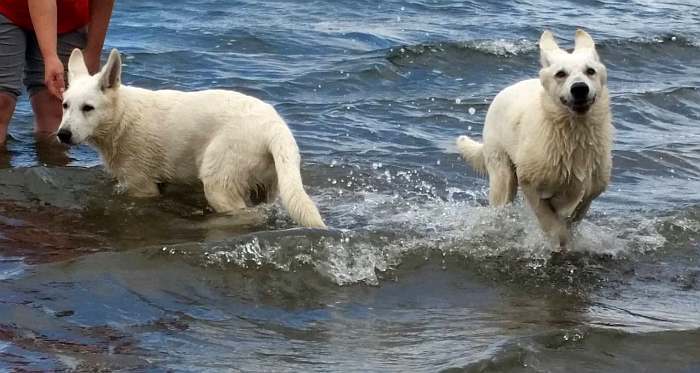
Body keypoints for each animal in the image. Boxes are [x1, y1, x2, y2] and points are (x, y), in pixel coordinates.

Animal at [57, 46, 326, 227]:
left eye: (88, 108)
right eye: (65, 105)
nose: (62, 134)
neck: (122, 116)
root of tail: (275, 126)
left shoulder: (141, 186)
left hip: (219, 182)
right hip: (267, 186)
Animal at [454, 29, 612, 247]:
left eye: (590, 71)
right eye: (560, 74)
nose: (580, 88)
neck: (574, 131)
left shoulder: (588, 193)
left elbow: (573, 219)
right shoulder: (530, 184)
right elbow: (551, 224)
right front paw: (557, 241)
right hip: (502, 174)